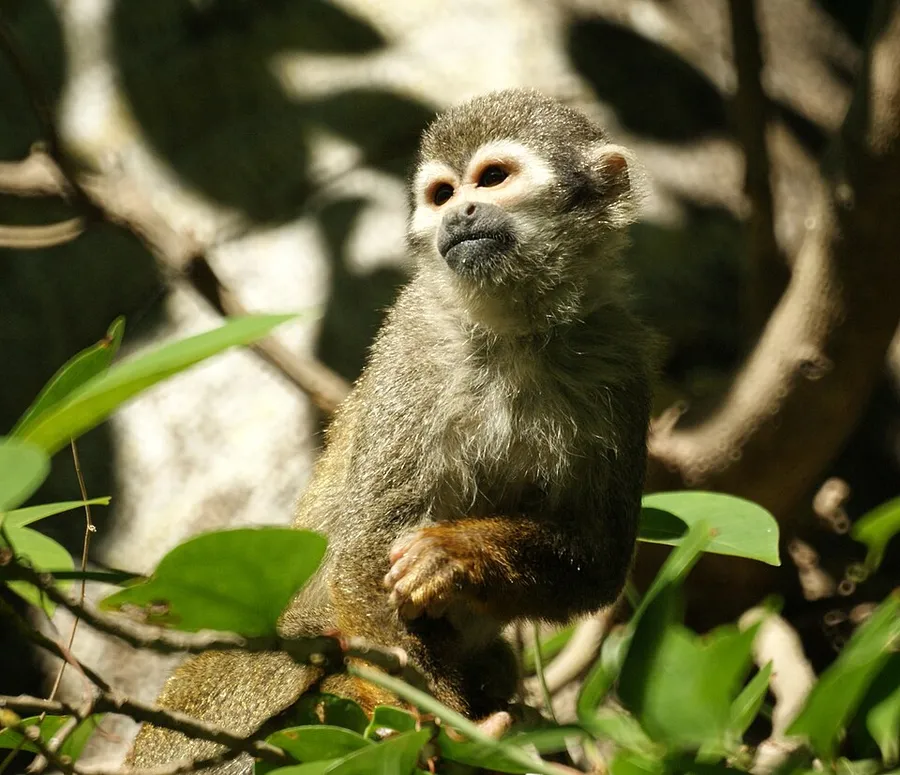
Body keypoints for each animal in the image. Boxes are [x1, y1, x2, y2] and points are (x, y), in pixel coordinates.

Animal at [126, 88, 653, 774]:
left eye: (492, 178)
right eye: (442, 194)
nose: (461, 213)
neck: (513, 333)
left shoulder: (620, 359)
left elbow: (597, 559)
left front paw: (455, 555)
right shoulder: (412, 345)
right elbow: (361, 558)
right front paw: (442, 737)